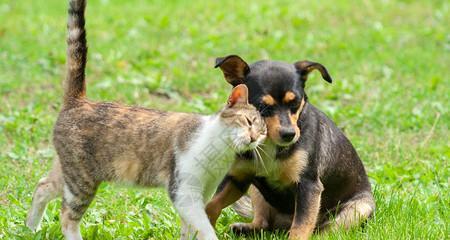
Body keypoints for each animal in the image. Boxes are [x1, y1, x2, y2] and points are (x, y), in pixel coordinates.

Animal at [25, 0, 268, 240]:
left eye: (263, 132)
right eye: (248, 121)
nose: (254, 137)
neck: (220, 152)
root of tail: (79, 100)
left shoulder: (203, 191)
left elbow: (189, 229)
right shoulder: (184, 192)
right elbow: (205, 228)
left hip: (70, 171)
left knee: (42, 186)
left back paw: (30, 228)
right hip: (82, 181)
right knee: (67, 216)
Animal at [206, 55, 374, 239]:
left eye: (296, 102)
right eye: (262, 106)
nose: (289, 134)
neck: (269, 144)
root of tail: (281, 226)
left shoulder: (308, 186)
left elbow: (300, 227)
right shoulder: (238, 178)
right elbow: (211, 205)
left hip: (358, 209)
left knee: (325, 231)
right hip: (256, 192)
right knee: (263, 223)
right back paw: (245, 228)